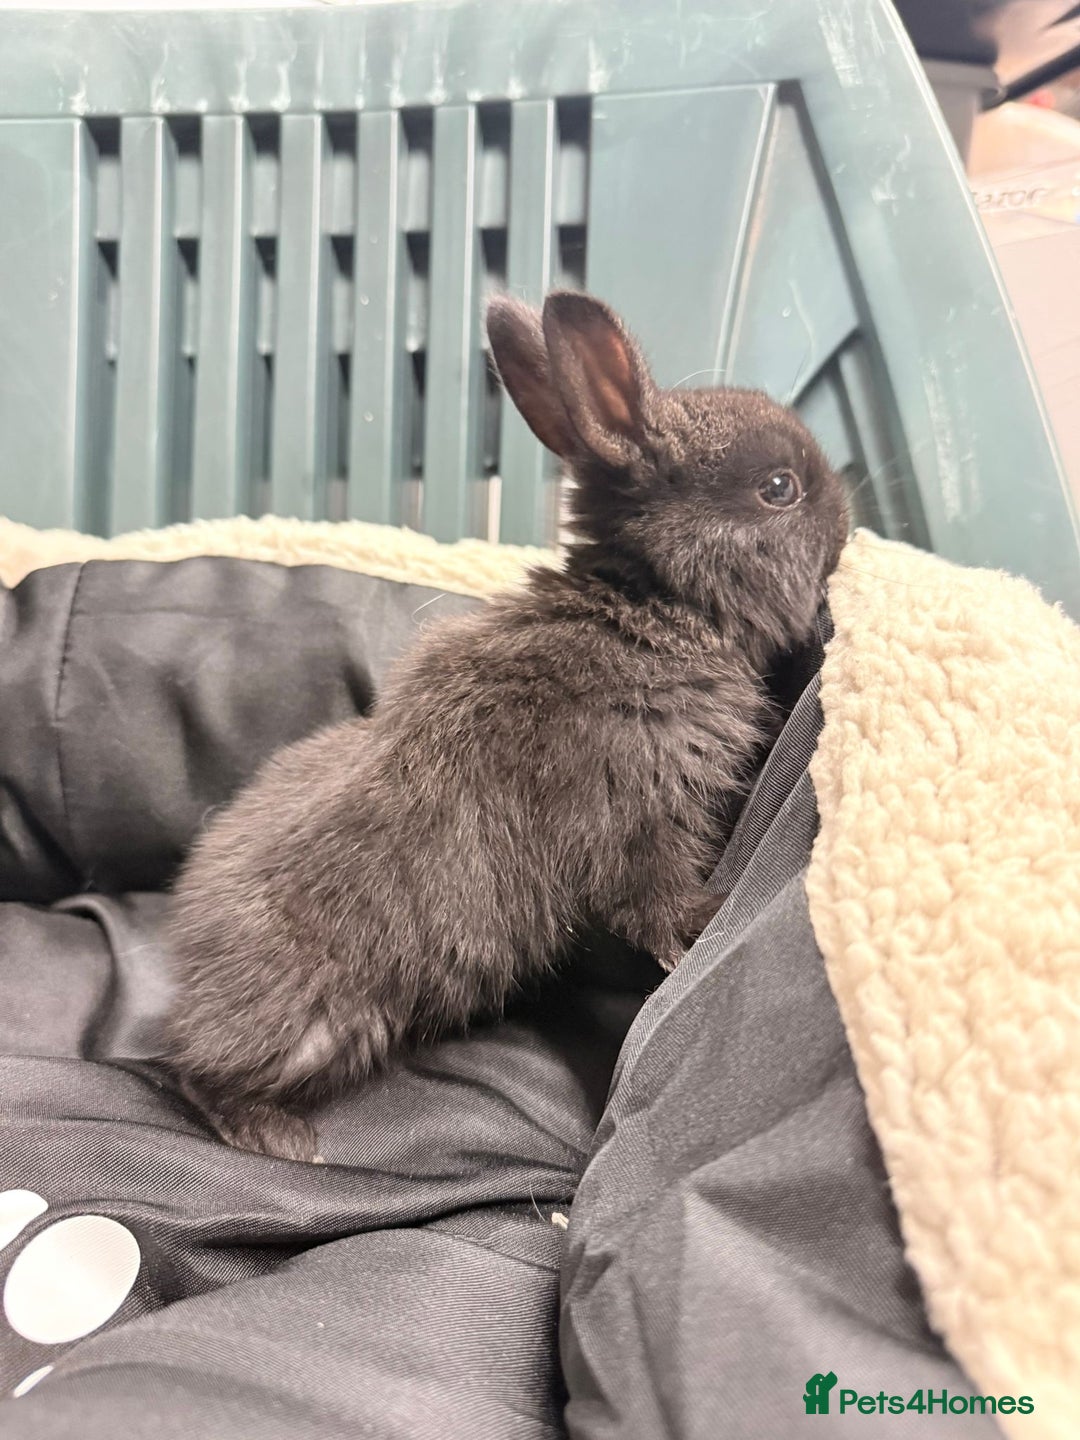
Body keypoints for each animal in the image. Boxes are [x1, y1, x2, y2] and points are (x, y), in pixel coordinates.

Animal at [162, 290, 849, 1162]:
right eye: (779, 488)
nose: (851, 520)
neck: (655, 608)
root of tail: (185, 977)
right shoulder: (639, 815)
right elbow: (651, 899)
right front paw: (701, 925)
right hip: (323, 1025)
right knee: (197, 1076)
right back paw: (276, 1134)